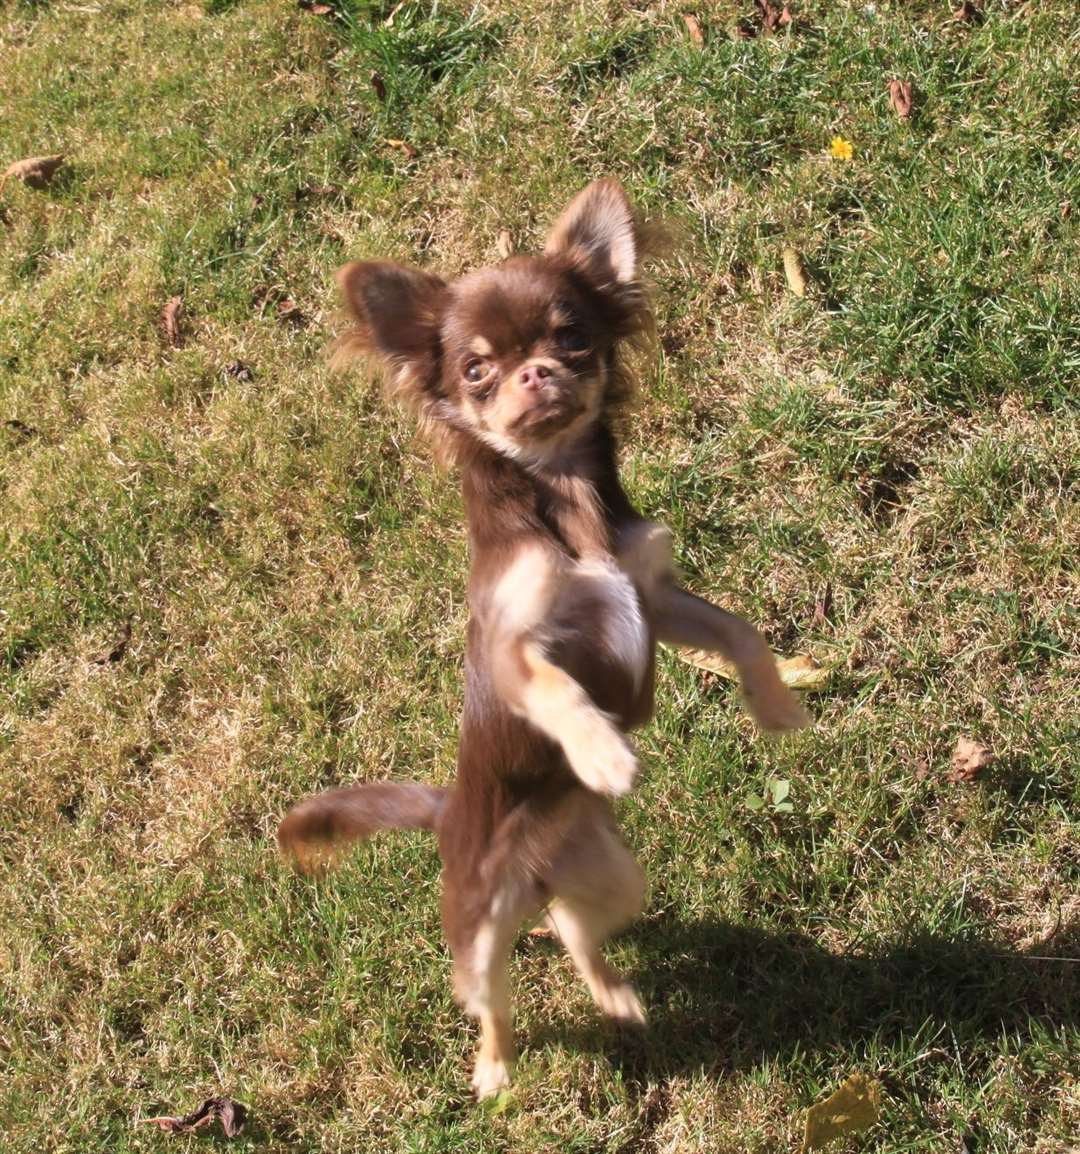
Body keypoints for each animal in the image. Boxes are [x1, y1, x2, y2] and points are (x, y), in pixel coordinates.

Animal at [278, 180, 812, 1098]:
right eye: (476, 370)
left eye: (572, 336)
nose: (536, 371)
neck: (563, 494)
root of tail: (451, 812)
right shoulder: (514, 646)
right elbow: (560, 688)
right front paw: (602, 754)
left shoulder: (651, 595)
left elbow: (738, 630)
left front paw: (776, 706)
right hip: (481, 925)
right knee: (489, 1000)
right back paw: (494, 1072)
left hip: (611, 876)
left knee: (573, 929)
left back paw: (613, 994)